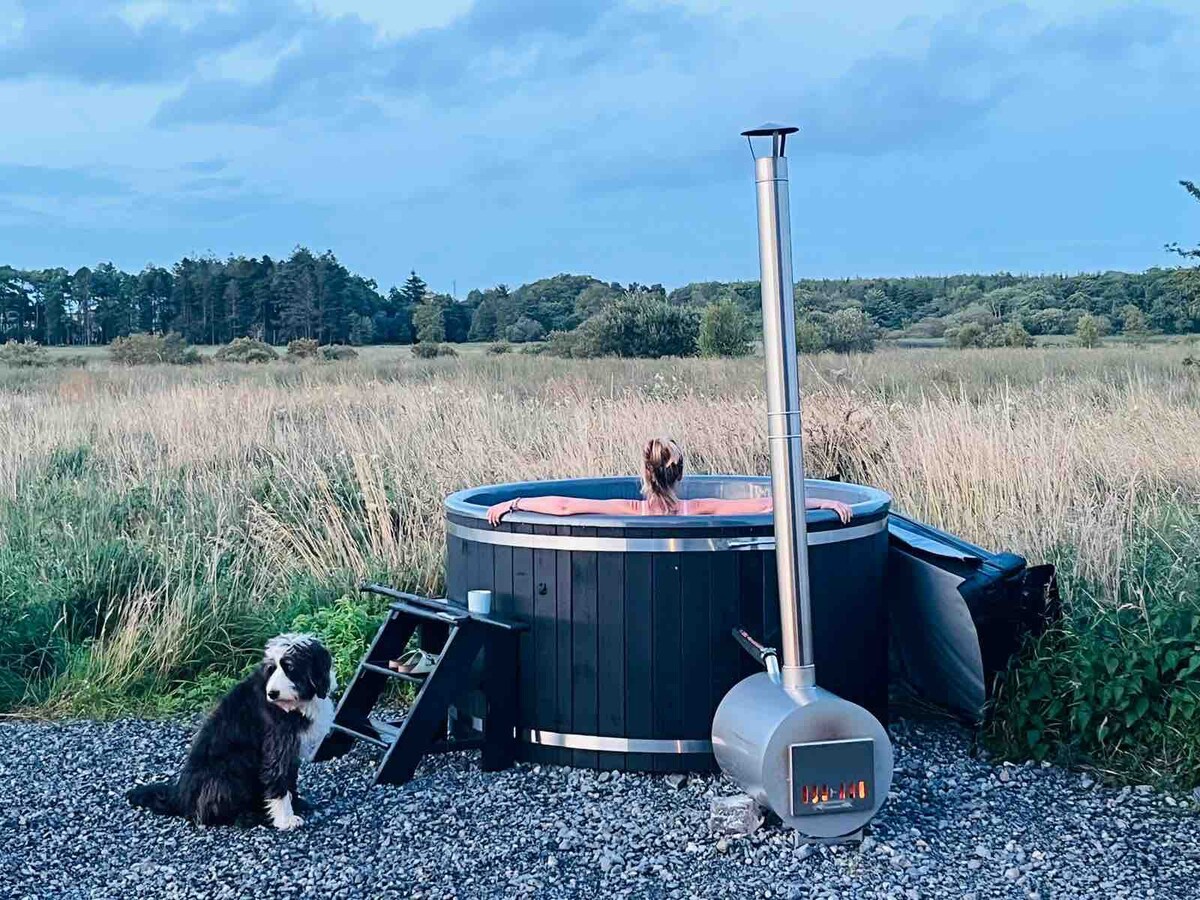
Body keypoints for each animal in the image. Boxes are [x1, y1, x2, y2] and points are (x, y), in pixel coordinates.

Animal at [128, 633, 336, 830]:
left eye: (290, 667)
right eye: (271, 669)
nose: (272, 694)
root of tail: (179, 798)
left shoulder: (292, 748)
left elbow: (290, 778)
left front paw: (297, 804)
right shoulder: (278, 744)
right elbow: (278, 778)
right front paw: (285, 819)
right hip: (228, 774)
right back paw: (250, 817)